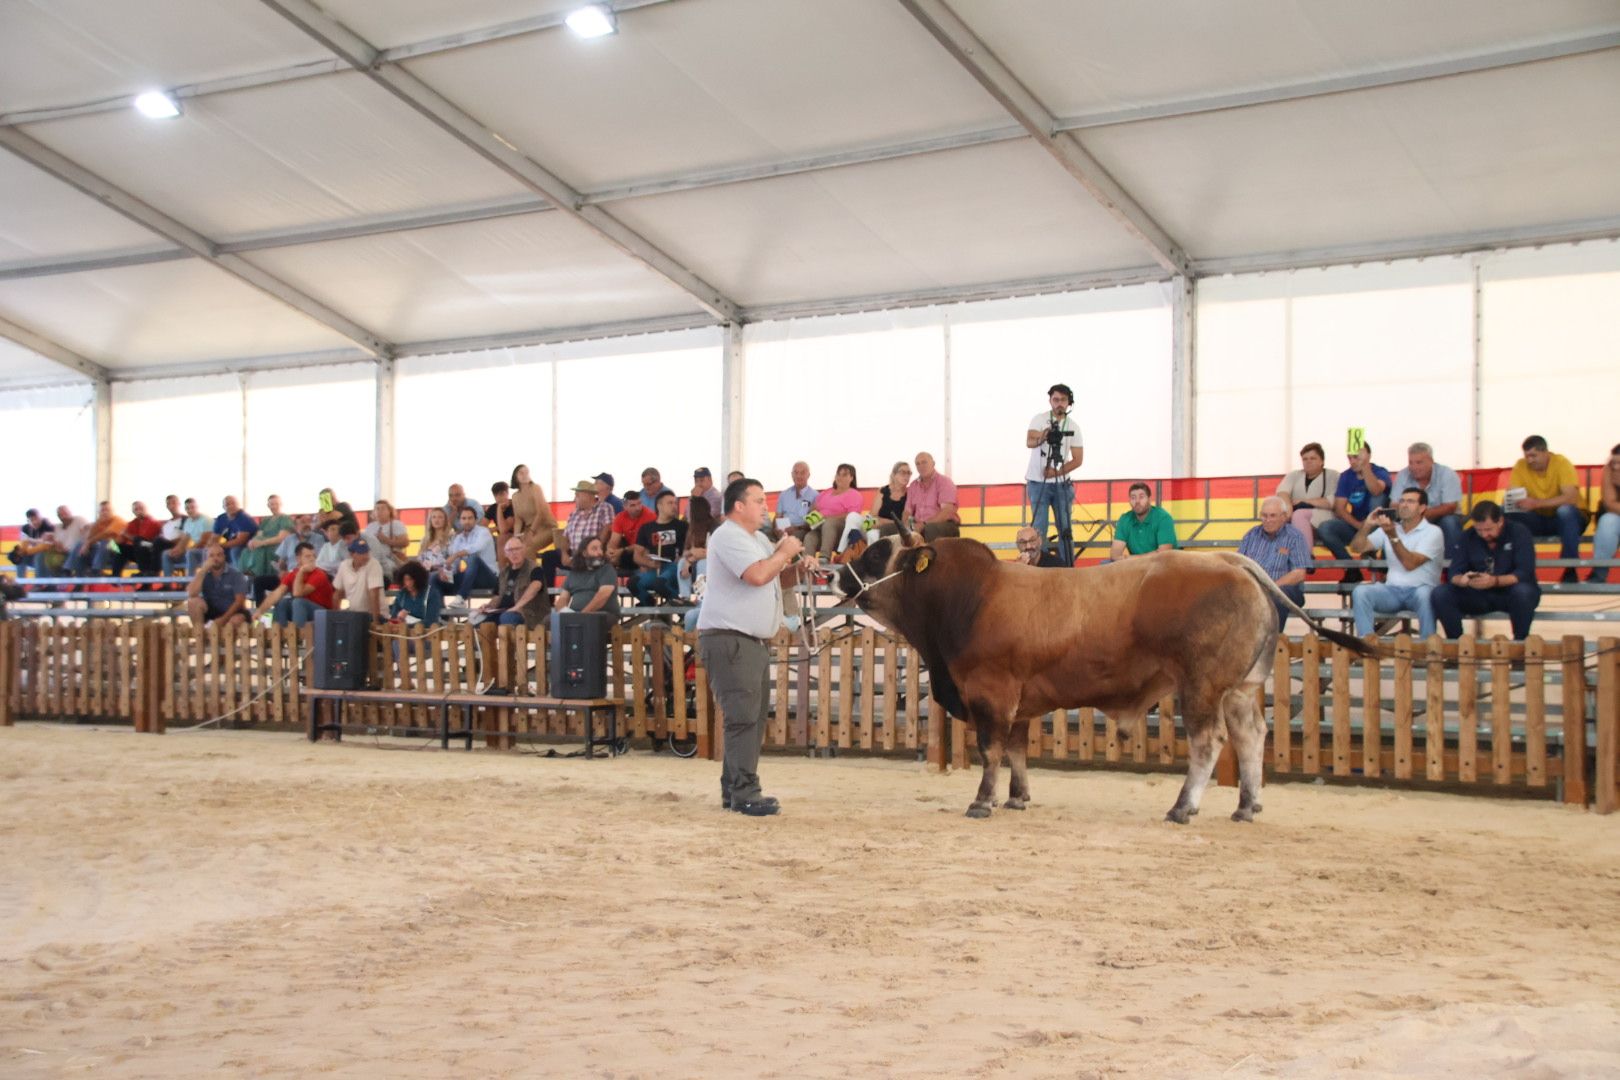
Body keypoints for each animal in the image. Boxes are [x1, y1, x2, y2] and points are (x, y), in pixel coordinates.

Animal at [835, 537, 1367, 822]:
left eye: (877, 552)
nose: (838, 575)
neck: (968, 597)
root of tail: (1225, 559)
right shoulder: (1020, 701)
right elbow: (1016, 751)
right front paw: (1017, 798)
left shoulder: (992, 693)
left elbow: (990, 750)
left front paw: (983, 801)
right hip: (1240, 687)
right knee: (1251, 735)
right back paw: (1246, 805)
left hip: (1201, 685)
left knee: (1208, 741)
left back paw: (1183, 807)